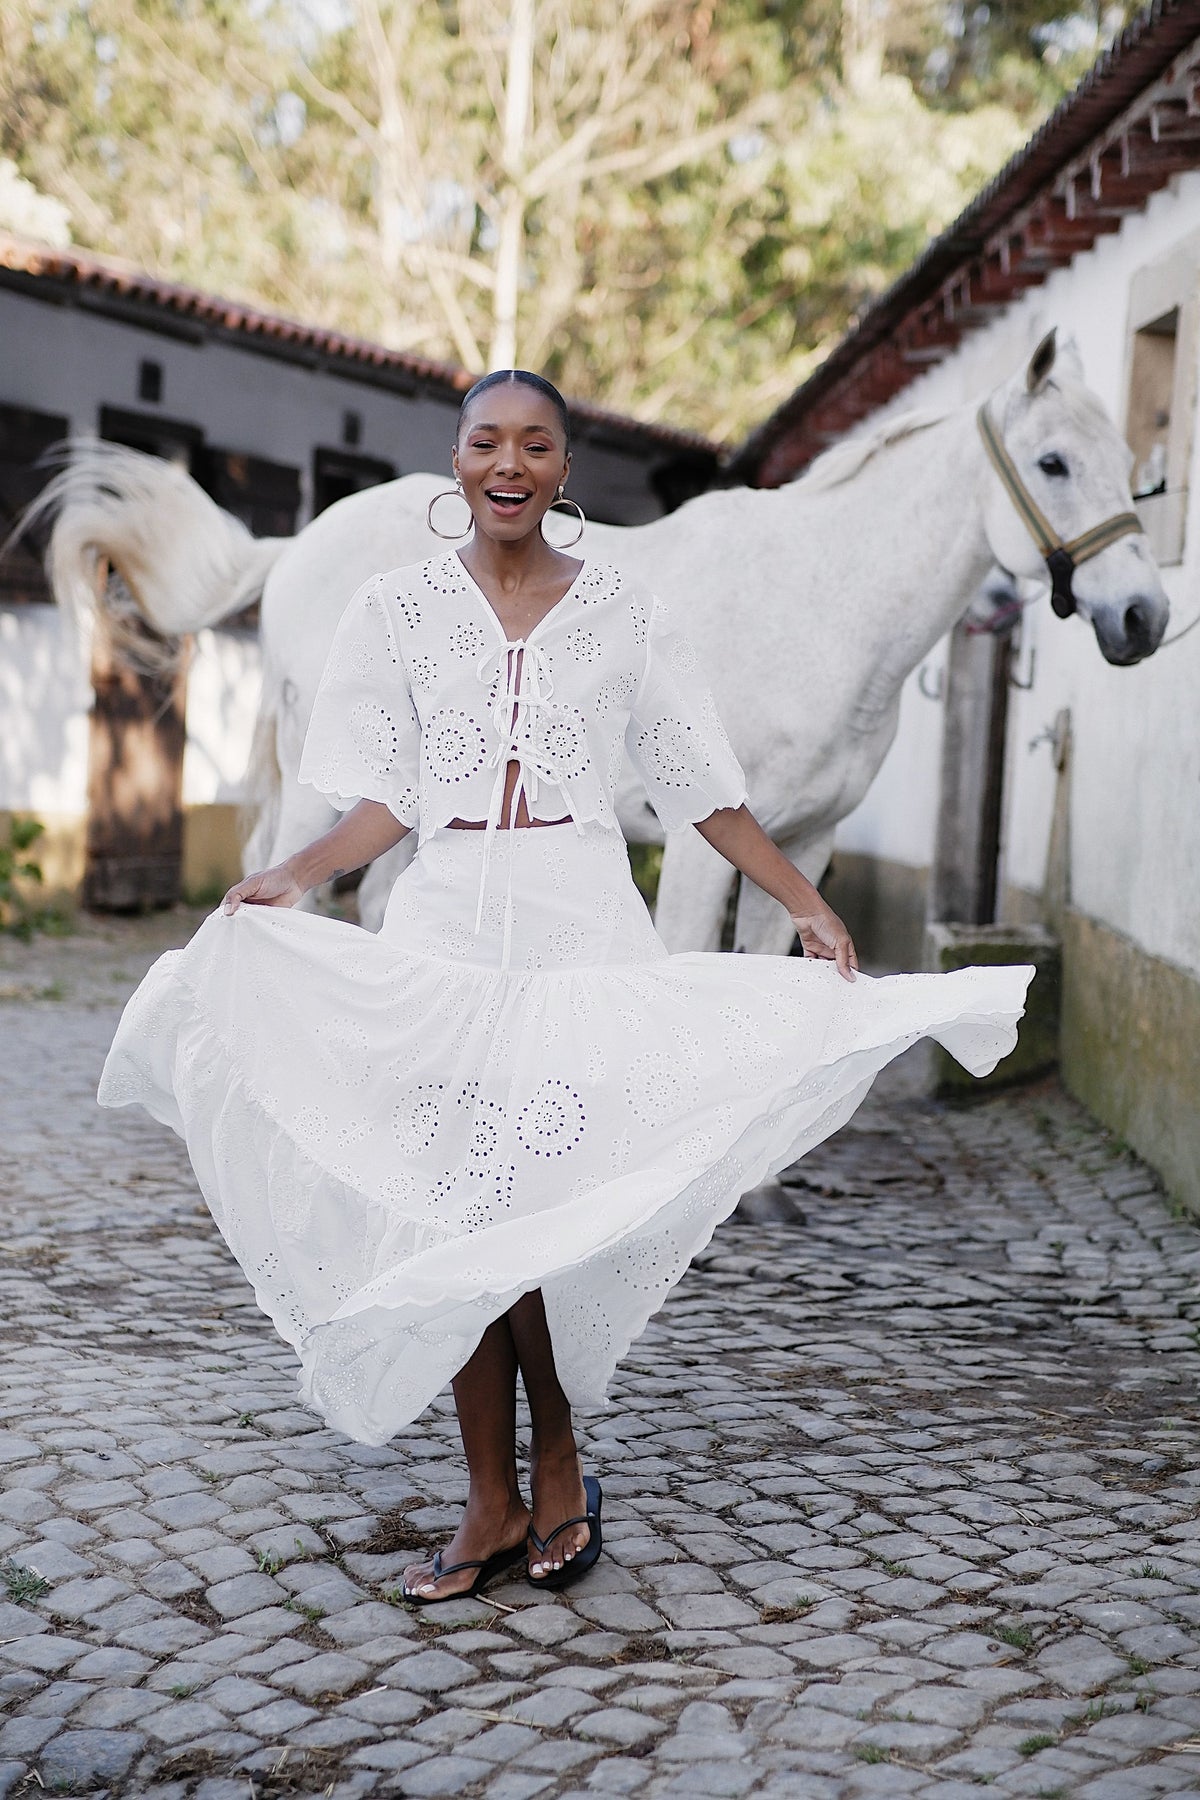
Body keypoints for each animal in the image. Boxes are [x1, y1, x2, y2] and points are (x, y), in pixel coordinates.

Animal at [44, 336, 1165, 957]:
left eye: (1133, 464)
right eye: (1053, 463)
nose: (1143, 617)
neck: (821, 603)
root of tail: (294, 548)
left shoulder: (804, 846)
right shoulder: (707, 842)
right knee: (297, 891)